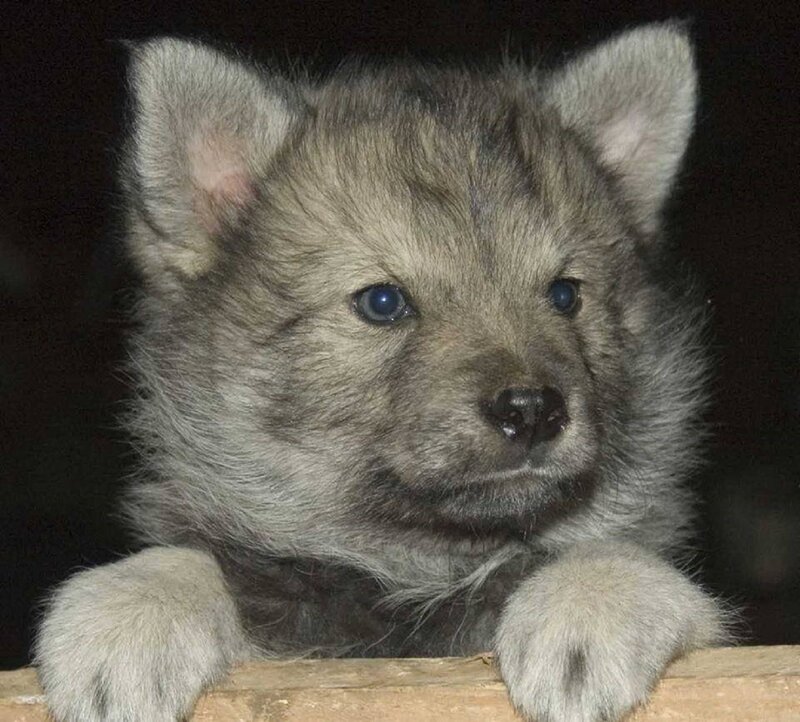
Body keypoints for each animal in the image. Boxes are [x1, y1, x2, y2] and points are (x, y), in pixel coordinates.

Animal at [35, 22, 727, 722]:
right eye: (383, 302)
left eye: (564, 295)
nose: (533, 409)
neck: (419, 574)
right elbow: (199, 560)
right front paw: (131, 608)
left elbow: (618, 556)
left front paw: (590, 602)